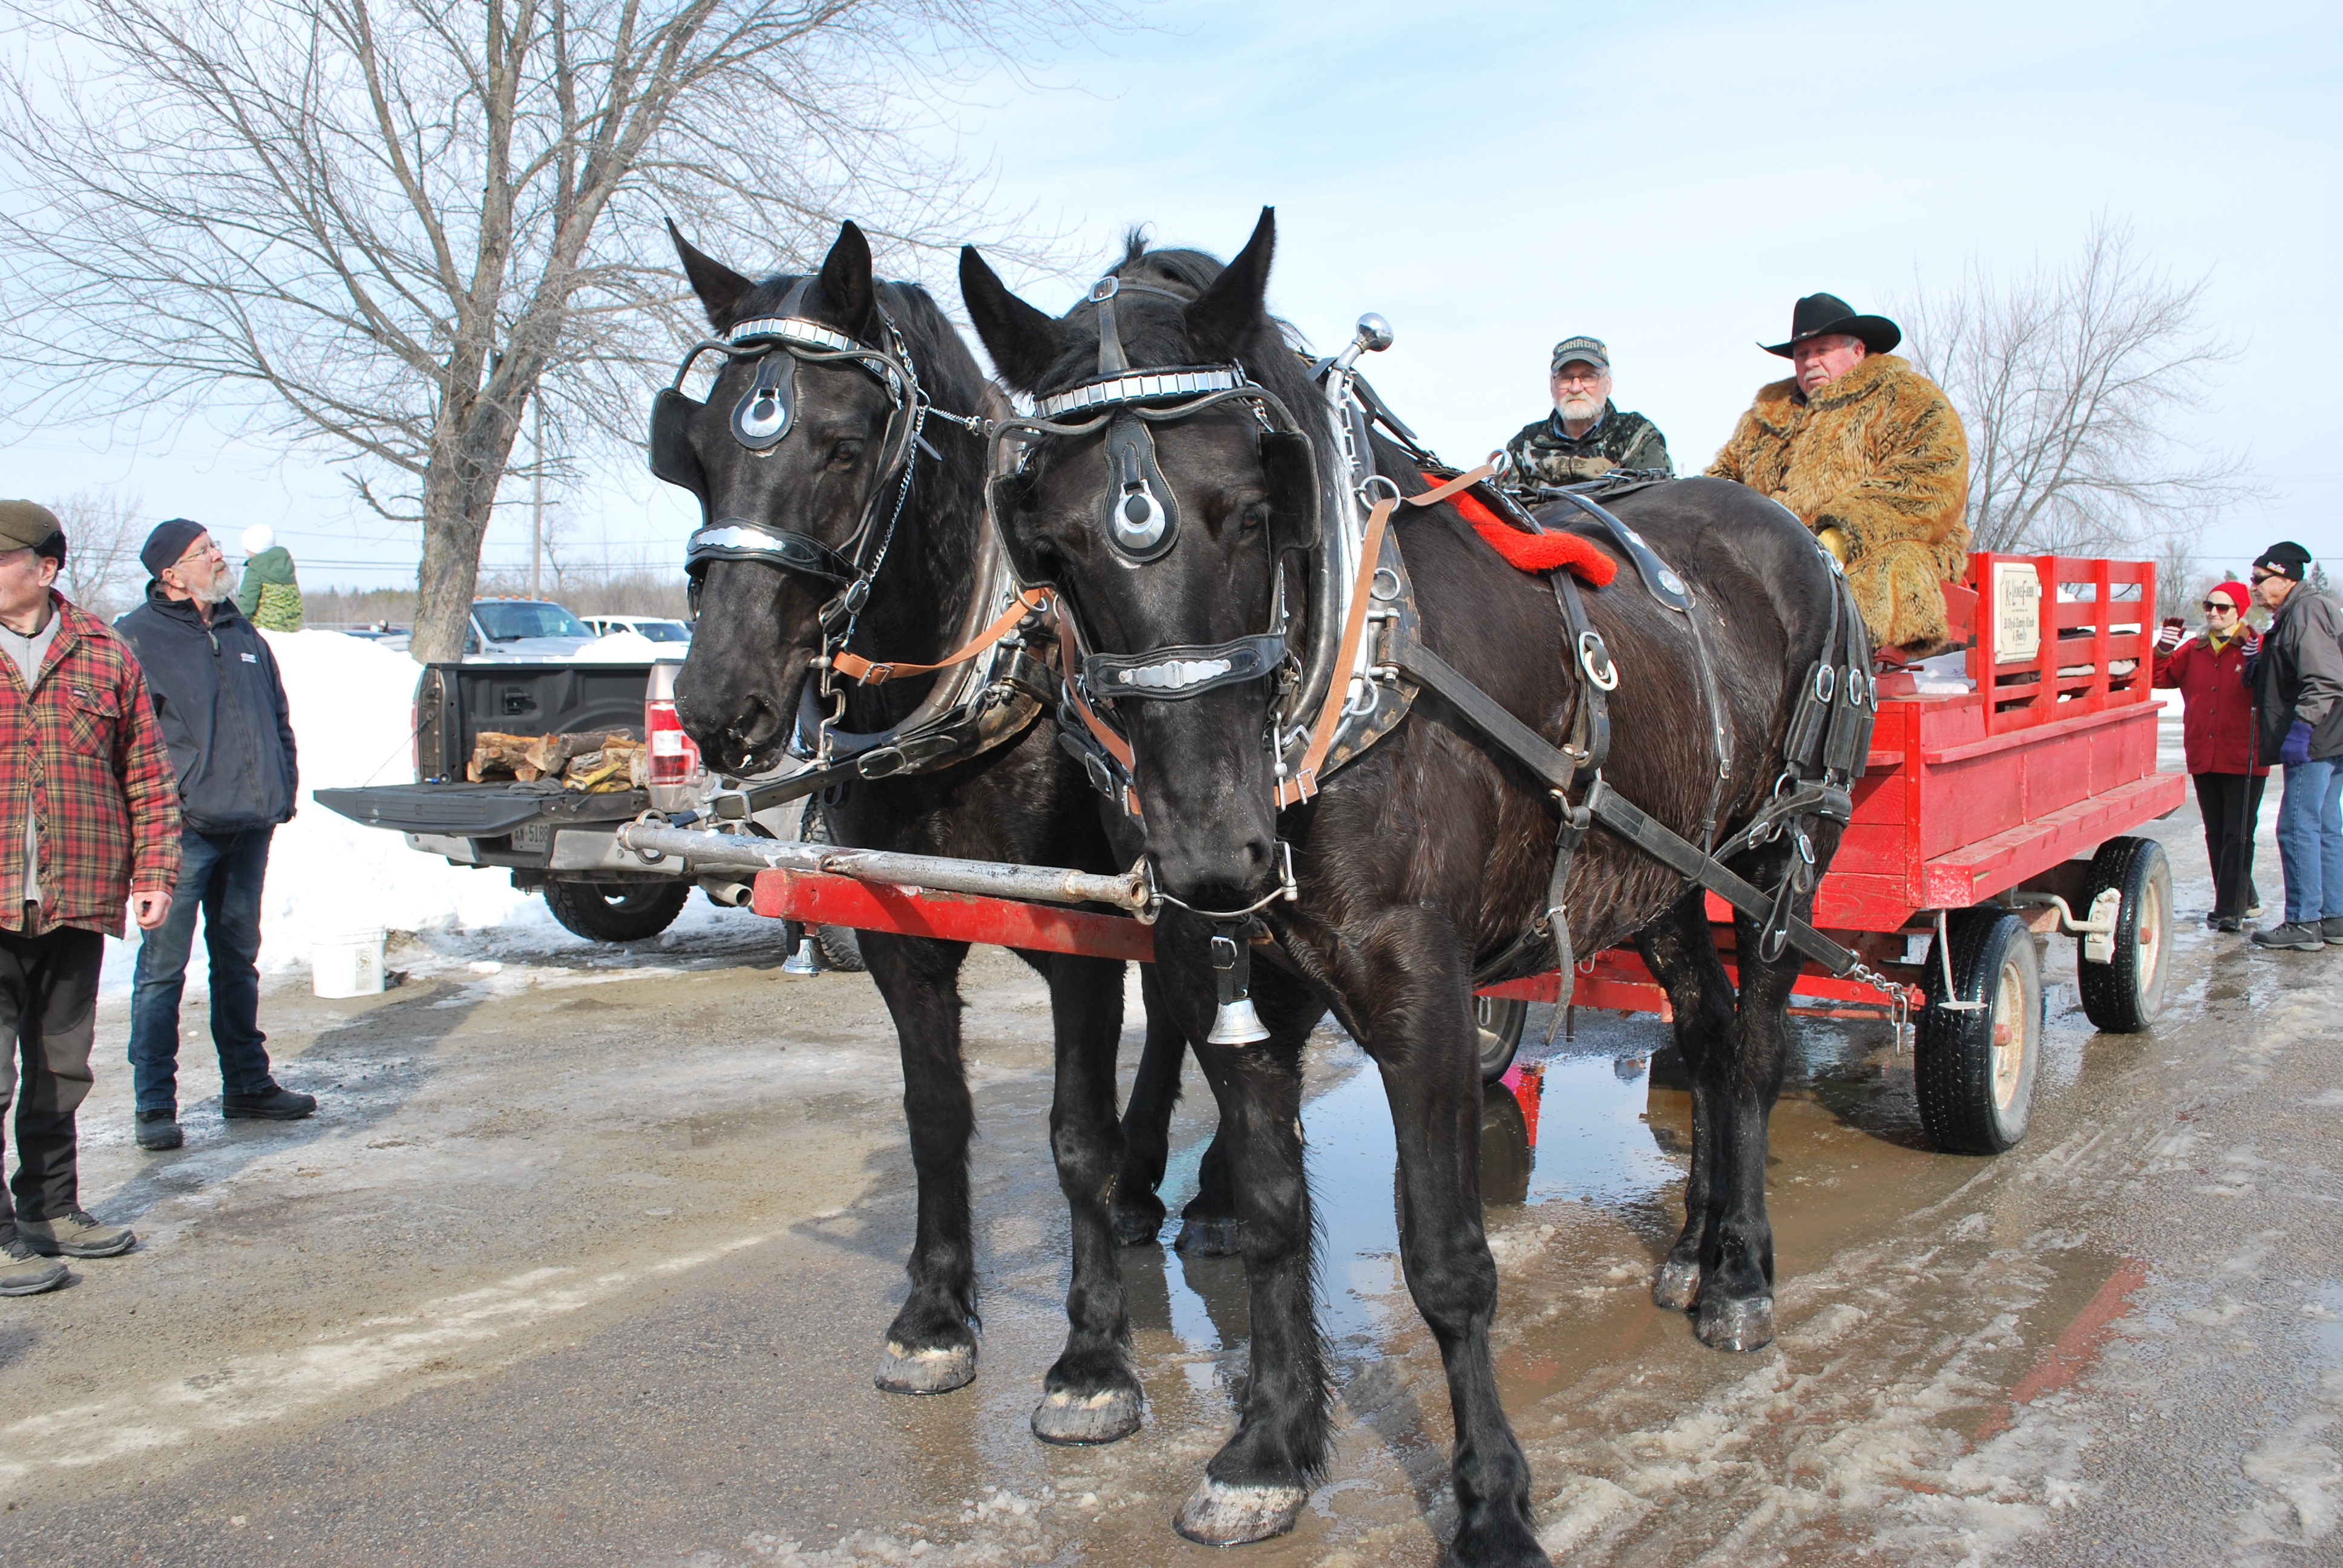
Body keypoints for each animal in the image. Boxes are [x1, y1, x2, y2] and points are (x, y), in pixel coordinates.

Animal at [663, 220, 1230, 1444]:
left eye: (842, 446)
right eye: (696, 449)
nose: (718, 702)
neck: (977, 683)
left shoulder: (1077, 935)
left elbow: (1073, 1133)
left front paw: (1093, 1357)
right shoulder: (896, 932)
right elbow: (935, 1113)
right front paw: (931, 1315)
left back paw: (1205, 1195)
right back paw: (1149, 1184)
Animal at [959, 208, 1866, 1565]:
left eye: (1250, 506)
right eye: (1050, 543)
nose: (1213, 848)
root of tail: (1790, 539)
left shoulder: (1422, 996)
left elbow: (1446, 1259)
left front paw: (1491, 1501)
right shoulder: (1221, 981)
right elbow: (1271, 1218)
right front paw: (1270, 1448)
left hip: (1777, 862)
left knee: (1751, 1051)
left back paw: (1744, 1273)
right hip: (1657, 879)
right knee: (1705, 1039)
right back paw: (1696, 1248)